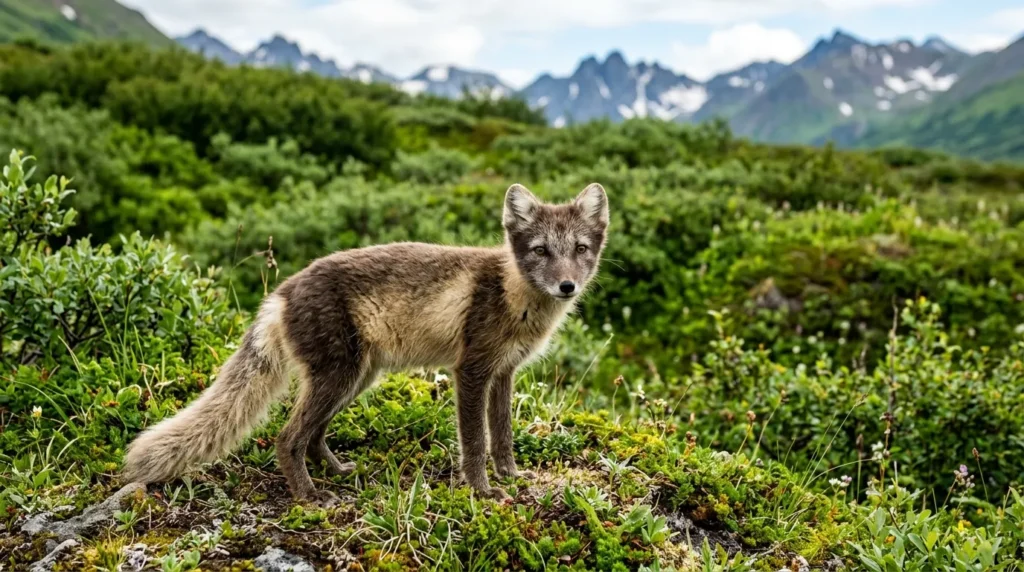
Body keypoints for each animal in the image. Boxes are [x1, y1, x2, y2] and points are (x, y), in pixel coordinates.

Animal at [121, 183, 609, 504]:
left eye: (581, 248)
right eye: (541, 250)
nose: (567, 286)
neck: (513, 295)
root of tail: (281, 291)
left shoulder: (503, 372)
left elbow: (503, 434)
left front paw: (510, 476)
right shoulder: (470, 371)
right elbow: (475, 441)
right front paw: (482, 490)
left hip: (355, 379)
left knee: (313, 436)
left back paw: (337, 471)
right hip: (339, 377)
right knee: (287, 438)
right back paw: (309, 497)